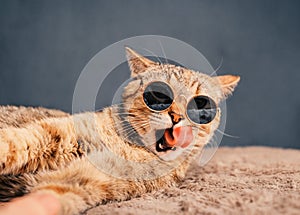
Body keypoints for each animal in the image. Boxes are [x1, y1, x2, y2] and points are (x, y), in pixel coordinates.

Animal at [0, 47, 239, 214]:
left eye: (201, 104)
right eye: (159, 94)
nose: (177, 117)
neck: (129, 147)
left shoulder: (86, 182)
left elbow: (50, 197)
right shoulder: (56, 132)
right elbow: (15, 142)